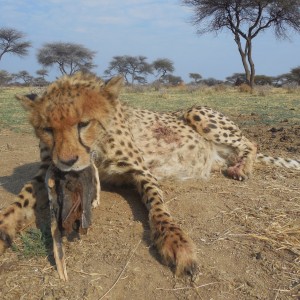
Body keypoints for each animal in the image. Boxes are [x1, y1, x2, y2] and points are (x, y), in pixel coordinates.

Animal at [0, 73, 298, 278]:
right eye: (47, 129)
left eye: (84, 123)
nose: (68, 161)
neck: (97, 150)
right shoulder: (46, 171)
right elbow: (21, 198)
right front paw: (4, 227)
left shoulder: (140, 170)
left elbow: (158, 207)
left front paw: (176, 242)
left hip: (197, 111)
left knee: (251, 143)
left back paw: (241, 168)